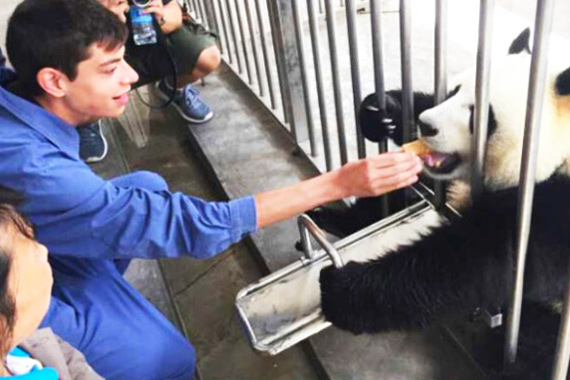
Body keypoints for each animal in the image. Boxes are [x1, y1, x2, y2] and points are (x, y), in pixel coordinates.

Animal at [318, 28, 568, 378]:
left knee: (536, 346)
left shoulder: (557, 205)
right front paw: (381, 112)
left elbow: (481, 258)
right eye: (453, 90)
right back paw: (335, 220)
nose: (426, 126)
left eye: (481, 116)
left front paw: (344, 290)